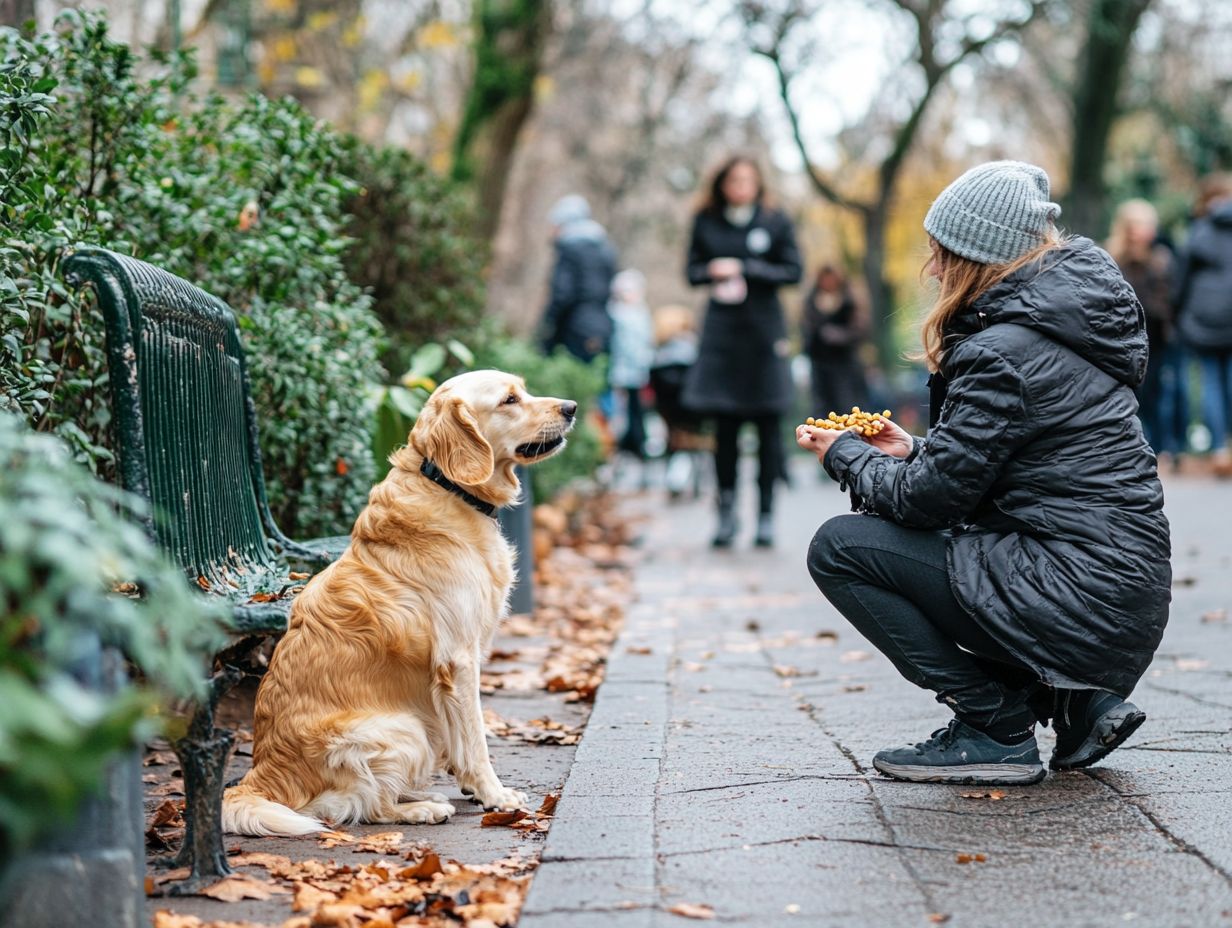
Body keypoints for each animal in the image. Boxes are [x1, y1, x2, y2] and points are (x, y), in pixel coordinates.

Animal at [221, 369, 576, 833]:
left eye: (524, 389)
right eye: (509, 400)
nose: (571, 407)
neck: (449, 488)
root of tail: (259, 776)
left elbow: (461, 741)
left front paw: (472, 789)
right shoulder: (459, 659)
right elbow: (476, 739)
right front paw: (495, 795)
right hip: (404, 729)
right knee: (364, 806)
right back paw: (421, 808)